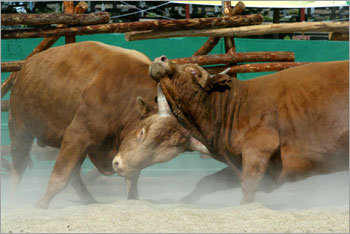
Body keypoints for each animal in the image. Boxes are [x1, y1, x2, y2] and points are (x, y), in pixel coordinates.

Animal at [8, 41, 208, 208]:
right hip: (19, 127)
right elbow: (60, 176)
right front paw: (41, 204)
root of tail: (27, 64)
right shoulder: (76, 136)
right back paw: (14, 198)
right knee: (18, 166)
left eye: (158, 159)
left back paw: (90, 202)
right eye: (141, 133)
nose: (119, 165)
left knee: (74, 176)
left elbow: (131, 182)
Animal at [149, 57, 348, 205]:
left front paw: (245, 204)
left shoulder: (260, 142)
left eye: (193, 72)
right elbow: (208, 182)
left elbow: (250, 179)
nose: (161, 59)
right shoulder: (238, 159)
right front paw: (183, 201)